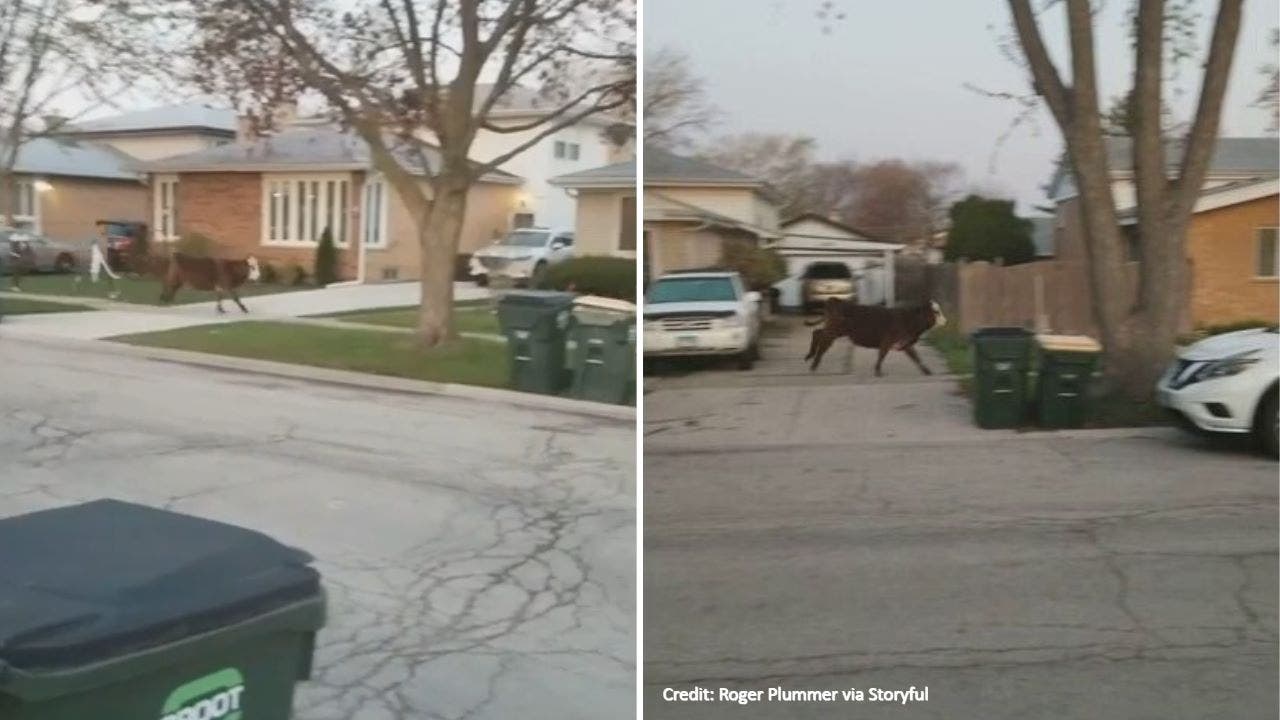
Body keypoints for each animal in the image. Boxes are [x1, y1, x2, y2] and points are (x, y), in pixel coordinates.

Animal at [803, 297, 947, 376]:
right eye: (936, 312)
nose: (945, 321)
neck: (909, 320)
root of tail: (835, 300)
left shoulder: (905, 343)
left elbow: (916, 358)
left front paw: (927, 371)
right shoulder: (887, 341)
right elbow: (882, 355)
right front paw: (878, 371)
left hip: (836, 331)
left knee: (817, 333)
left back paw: (810, 356)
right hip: (834, 331)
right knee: (823, 341)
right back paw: (814, 364)